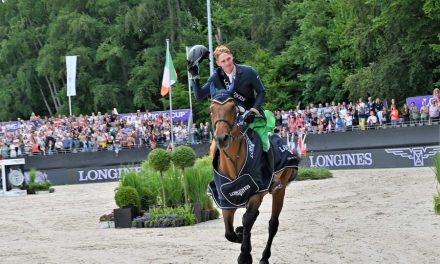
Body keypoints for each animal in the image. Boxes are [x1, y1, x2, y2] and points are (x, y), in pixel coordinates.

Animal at [209, 89, 300, 262]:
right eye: (211, 110)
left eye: (233, 108)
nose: (222, 139)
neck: (233, 161)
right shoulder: (226, 201)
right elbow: (229, 232)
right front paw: (240, 235)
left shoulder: (256, 193)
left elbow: (247, 219)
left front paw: (245, 255)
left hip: (280, 189)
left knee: (273, 224)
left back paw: (264, 257)